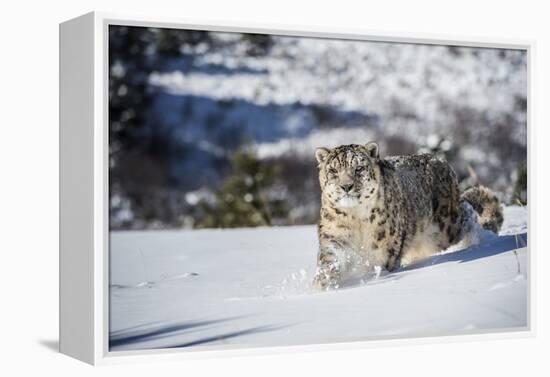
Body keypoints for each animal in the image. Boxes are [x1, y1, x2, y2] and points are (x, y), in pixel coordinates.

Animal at [312, 142, 502, 290]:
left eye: (359, 168)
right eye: (333, 170)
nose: (346, 186)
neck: (356, 218)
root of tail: (441, 161)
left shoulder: (385, 250)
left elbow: (379, 267)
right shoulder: (334, 236)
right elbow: (330, 260)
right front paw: (322, 282)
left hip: (445, 229)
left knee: (468, 213)